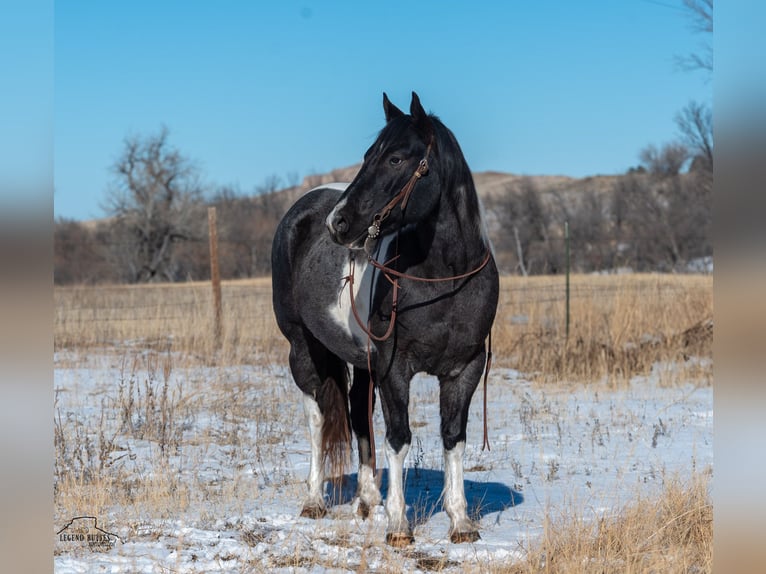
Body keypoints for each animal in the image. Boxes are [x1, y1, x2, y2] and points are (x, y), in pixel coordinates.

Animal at [272, 92, 500, 548]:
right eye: (367, 156)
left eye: (396, 158)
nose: (338, 222)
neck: (444, 280)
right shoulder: (396, 369)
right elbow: (399, 437)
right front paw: (398, 525)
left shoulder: (464, 370)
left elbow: (454, 437)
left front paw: (460, 521)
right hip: (303, 349)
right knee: (317, 419)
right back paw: (315, 500)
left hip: (362, 362)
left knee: (359, 415)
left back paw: (366, 501)